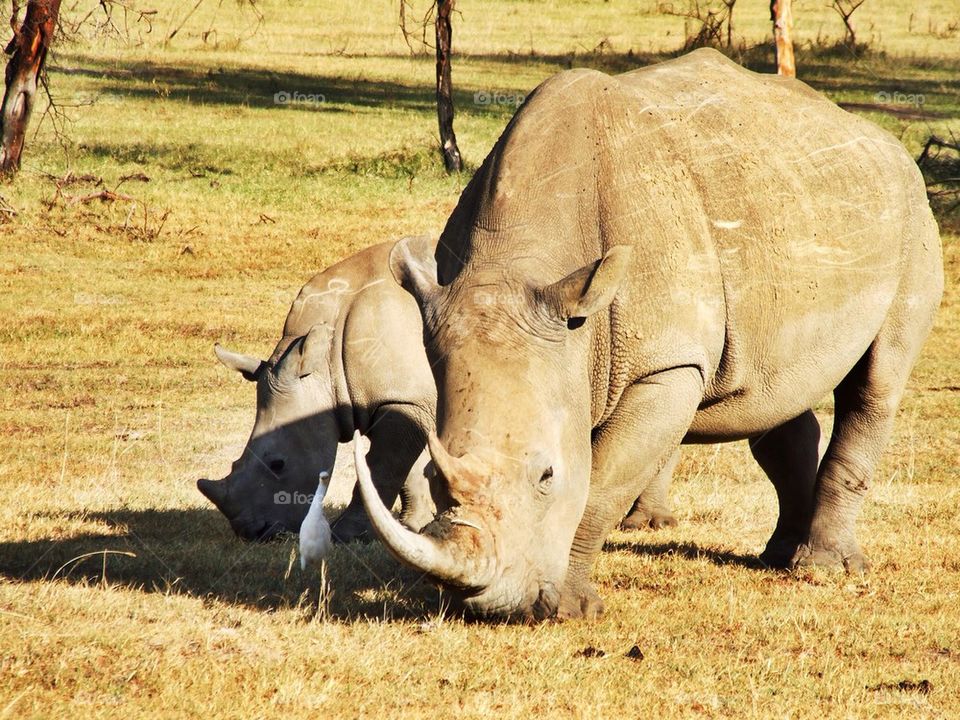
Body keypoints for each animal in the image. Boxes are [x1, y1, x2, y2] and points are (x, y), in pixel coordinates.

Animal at [354, 49, 944, 621]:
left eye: (548, 475)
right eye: (435, 477)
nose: (491, 604)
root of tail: (882, 140)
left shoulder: (667, 365)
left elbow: (602, 484)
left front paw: (571, 610)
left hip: (911, 214)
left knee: (876, 384)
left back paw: (823, 569)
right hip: (795, 213)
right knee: (773, 394)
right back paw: (778, 556)